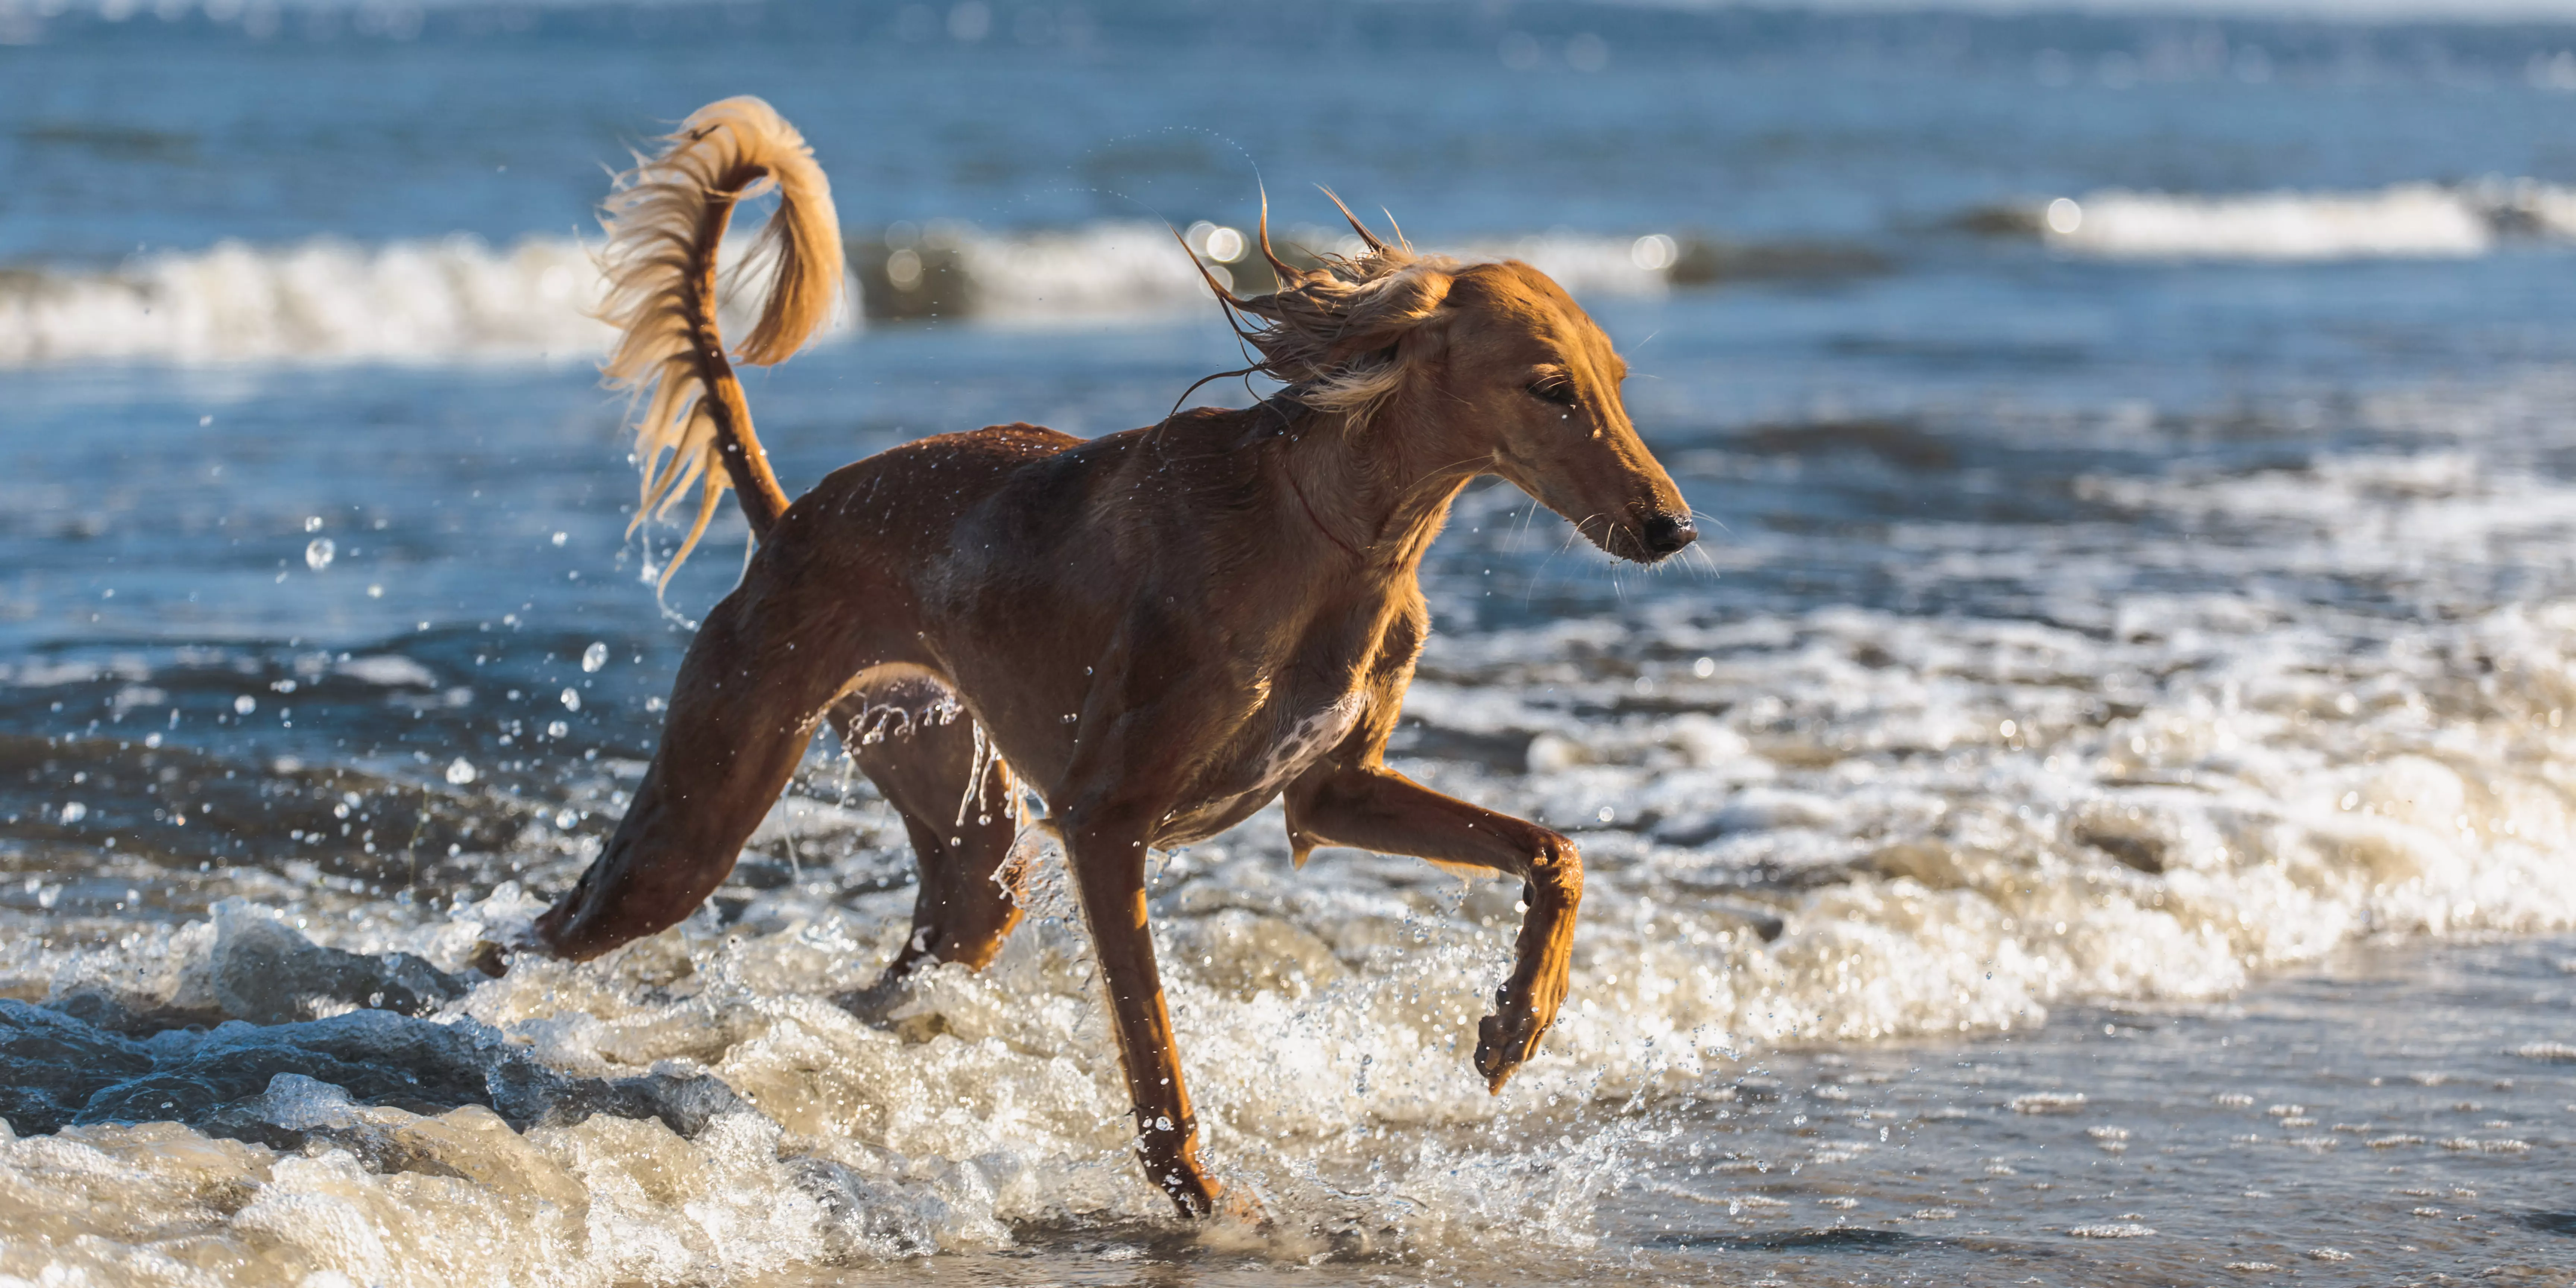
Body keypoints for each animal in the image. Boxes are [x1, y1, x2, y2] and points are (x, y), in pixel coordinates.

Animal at [523, 95, 1690, 1210]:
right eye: (1550, 388)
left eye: (1616, 380)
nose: (1672, 529)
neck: (1330, 532)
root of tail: (789, 520)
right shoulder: (1104, 823)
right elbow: (1155, 1053)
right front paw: (1200, 1198)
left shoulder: (1334, 792)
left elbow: (1556, 850)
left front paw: (1517, 1021)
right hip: (694, 823)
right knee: (539, 932)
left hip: (966, 853)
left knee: (889, 976)